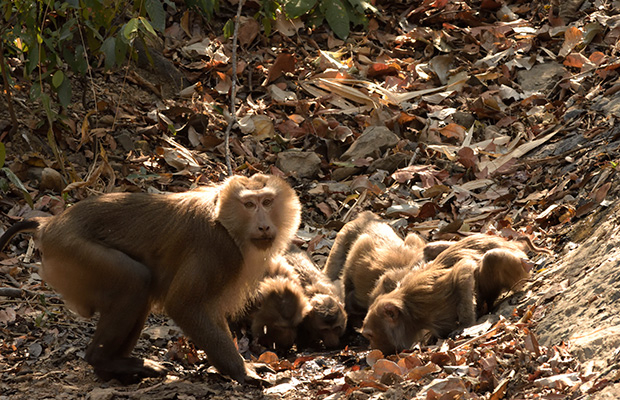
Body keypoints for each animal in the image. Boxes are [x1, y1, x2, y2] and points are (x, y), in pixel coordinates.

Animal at [0, 174, 302, 384]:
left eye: (267, 202)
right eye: (249, 204)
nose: (263, 225)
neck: (227, 224)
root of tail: (50, 225)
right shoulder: (216, 248)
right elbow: (185, 306)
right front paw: (241, 371)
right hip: (73, 252)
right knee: (135, 281)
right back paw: (104, 360)